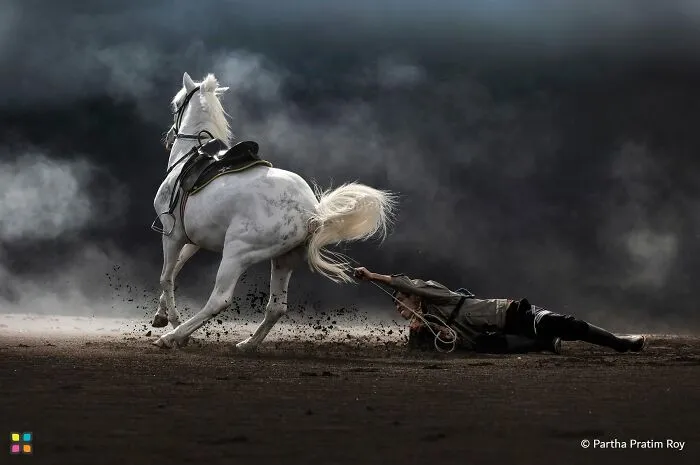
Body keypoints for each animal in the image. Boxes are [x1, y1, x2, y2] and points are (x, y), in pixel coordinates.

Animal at [150, 72, 396, 350]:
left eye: (176, 103)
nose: (168, 137)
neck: (191, 157)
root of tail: (311, 211)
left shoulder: (172, 234)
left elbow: (167, 277)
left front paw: (171, 320)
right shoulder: (193, 240)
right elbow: (177, 268)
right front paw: (161, 316)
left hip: (236, 254)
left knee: (219, 300)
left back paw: (175, 336)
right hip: (283, 260)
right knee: (276, 307)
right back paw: (248, 344)